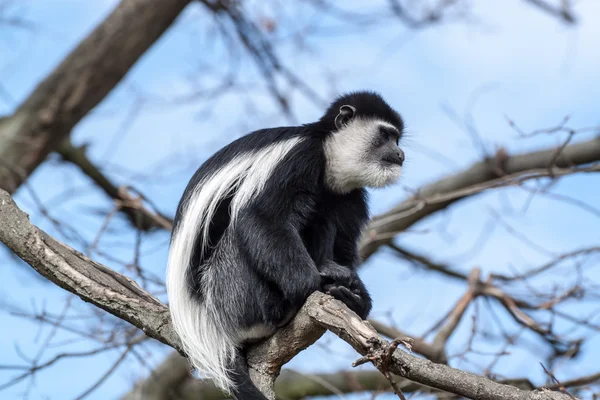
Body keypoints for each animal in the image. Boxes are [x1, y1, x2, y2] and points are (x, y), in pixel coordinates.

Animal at [166, 90, 406, 400]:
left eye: (397, 139)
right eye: (385, 135)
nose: (400, 154)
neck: (328, 157)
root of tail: (206, 327)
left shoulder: (352, 194)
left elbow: (344, 248)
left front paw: (355, 296)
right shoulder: (298, 157)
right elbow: (261, 216)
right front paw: (312, 284)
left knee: (324, 214)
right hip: (228, 294)